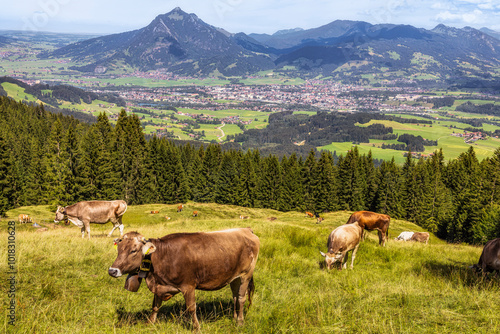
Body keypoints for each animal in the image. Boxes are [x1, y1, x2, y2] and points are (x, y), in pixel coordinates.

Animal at [107, 228, 260, 330]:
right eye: (119, 249)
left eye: (133, 250)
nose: (112, 270)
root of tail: (246, 229)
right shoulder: (159, 285)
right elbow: (155, 306)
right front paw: (149, 323)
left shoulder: (188, 286)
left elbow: (191, 308)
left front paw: (197, 328)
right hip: (234, 277)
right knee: (235, 297)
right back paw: (234, 318)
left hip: (246, 274)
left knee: (241, 298)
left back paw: (240, 322)